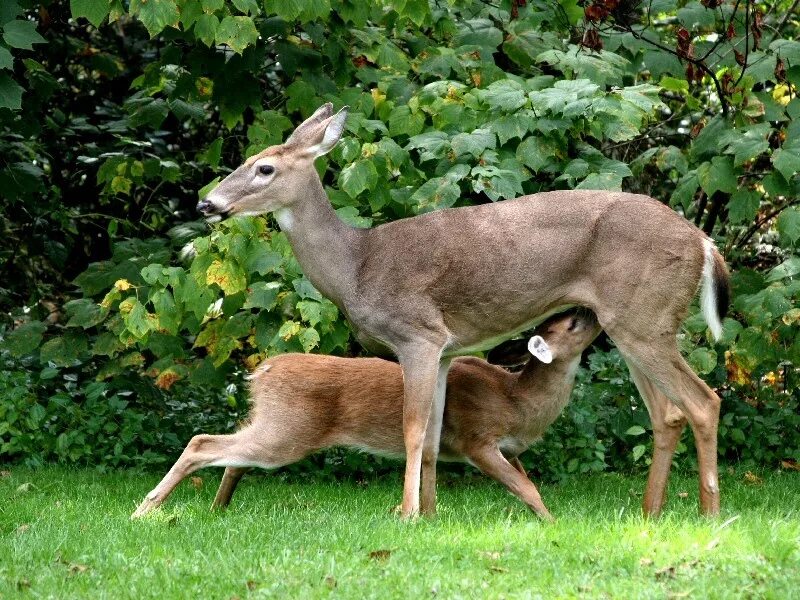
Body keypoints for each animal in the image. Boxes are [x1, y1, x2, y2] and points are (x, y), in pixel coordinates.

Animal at [131, 310, 600, 520]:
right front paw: (553, 525)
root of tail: (261, 372)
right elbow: (527, 489)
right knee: (202, 443)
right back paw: (146, 510)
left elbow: (526, 483)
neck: (517, 399)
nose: (591, 309)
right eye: (572, 324)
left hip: (272, 424)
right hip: (288, 431)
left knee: (231, 456)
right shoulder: (477, 440)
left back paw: (218, 508)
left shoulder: (510, 449)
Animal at [198, 103, 732, 520]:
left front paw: (407, 514)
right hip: (632, 323)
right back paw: (650, 513)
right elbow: (434, 437)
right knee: (667, 413)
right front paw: (432, 515)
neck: (356, 266)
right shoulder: (447, 351)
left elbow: (414, 429)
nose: (207, 203)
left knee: (703, 401)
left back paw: (708, 515)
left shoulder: (418, 334)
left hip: (644, 317)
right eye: (246, 161)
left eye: (265, 169)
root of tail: (703, 242)